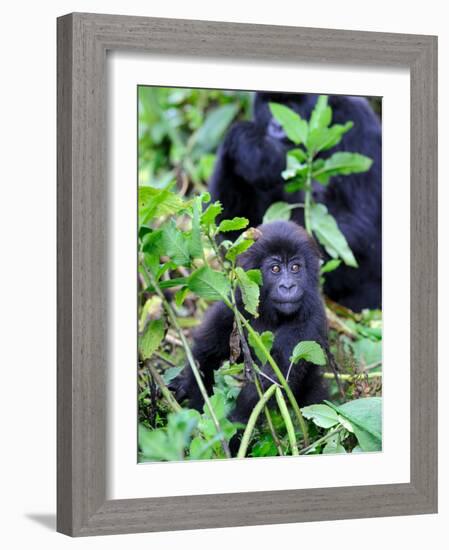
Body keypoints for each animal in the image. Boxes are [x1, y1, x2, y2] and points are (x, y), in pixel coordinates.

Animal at [170, 222, 328, 434]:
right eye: (275, 269)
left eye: (295, 267)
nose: (288, 286)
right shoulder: (232, 307)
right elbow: (205, 354)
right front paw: (193, 393)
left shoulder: (310, 318)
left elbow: (273, 379)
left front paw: (233, 425)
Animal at [208, 92, 380, 312]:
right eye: (270, 105)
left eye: (291, 106)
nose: (277, 125)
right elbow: (229, 228)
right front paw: (248, 144)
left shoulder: (358, 124)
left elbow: (359, 225)